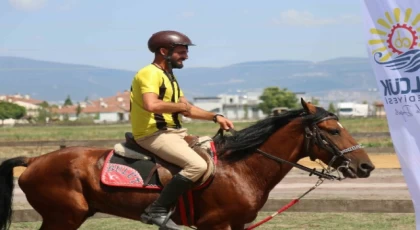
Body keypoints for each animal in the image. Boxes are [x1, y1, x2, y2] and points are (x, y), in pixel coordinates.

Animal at [0, 99, 374, 230]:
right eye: (333, 130)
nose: (366, 167)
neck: (242, 167)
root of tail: (35, 159)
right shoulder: (216, 226)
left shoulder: (236, 225)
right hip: (63, 217)